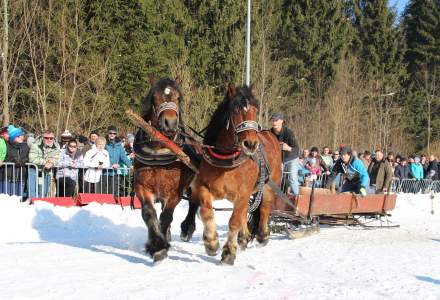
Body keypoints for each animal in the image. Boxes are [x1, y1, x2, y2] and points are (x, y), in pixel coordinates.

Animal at [133, 77, 197, 262]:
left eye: (178, 98)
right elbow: (149, 213)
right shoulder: (142, 187)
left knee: (194, 203)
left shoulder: (175, 192)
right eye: (154, 98)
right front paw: (157, 245)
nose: (170, 123)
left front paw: (161, 245)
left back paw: (187, 229)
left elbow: (166, 216)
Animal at [190, 83, 282, 264]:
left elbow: (234, 221)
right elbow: (206, 212)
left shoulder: (244, 192)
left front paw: (228, 252)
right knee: (244, 212)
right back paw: (243, 237)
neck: (227, 160)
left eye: (255, 109)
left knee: (264, 207)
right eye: (236, 110)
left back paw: (262, 235)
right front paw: (211, 242)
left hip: (269, 185)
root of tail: (271, 135)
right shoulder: (203, 186)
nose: (251, 144)